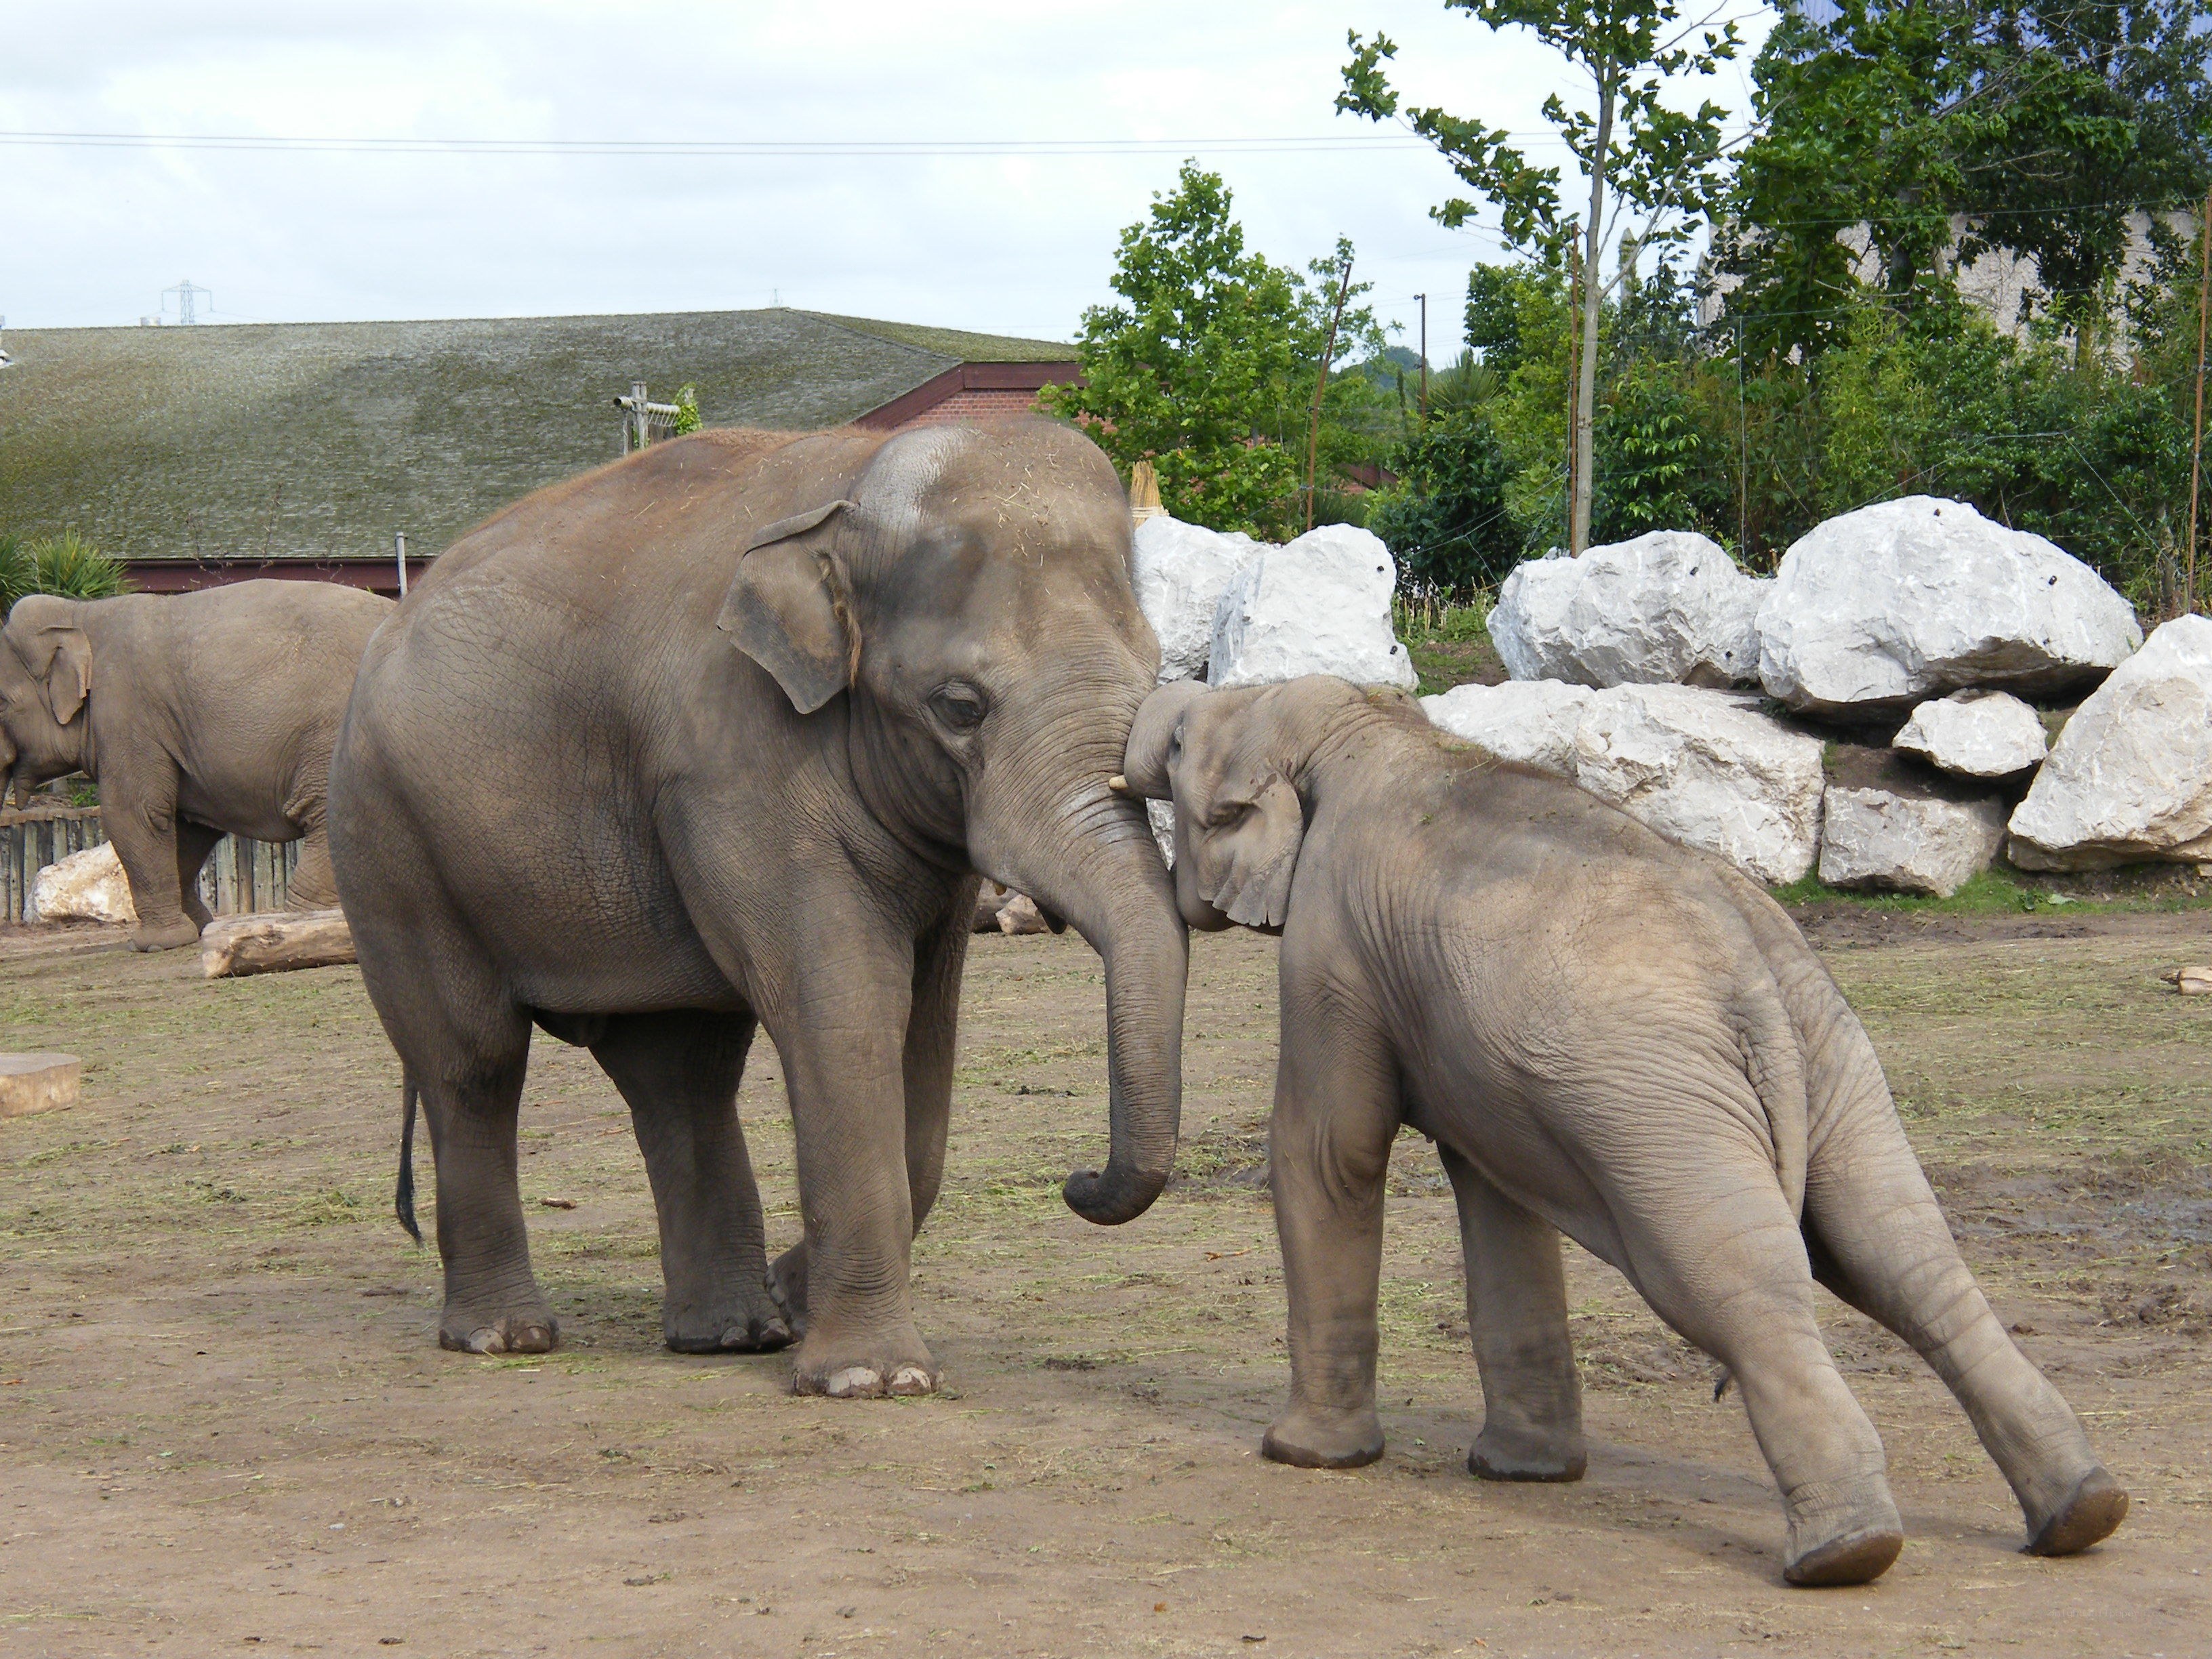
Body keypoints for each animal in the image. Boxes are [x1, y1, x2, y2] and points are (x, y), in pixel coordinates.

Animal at [0, 580, 395, 950]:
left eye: (2, 702)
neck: (79, 614)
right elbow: (187, 826)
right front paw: (198, 928)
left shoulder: (127, 715)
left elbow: (136, 813)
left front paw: (155, 943)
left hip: (335, 734)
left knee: (331, 814)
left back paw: (303, 925)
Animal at [327, 421, 1186, 1398]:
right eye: (960, 706)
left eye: (1156, 674)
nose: (1077, 1180)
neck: (850, 488)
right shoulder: (737, 767)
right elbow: (842, 1010)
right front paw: (872, 1381)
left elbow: (922, 1026)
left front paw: (802, 1311)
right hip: (391, 844)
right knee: (472, 1061)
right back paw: (507, 1338)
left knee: (680, 1072)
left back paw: (733, 1334)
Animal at [1119, 674, 2126, 1587]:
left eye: (1182, 744)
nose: (1146, 724)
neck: (1367, 727)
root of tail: (1752, 972)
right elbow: (1492, 1189)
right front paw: (1522, 1474)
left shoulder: (1333, 947)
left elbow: (1330, 1156)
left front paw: (1302, 1457)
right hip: (1835, 1064)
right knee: (1902, 1257)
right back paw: (2081, 1514)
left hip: (1666, 1108)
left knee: (1738, 1282)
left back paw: (1845, 1555)